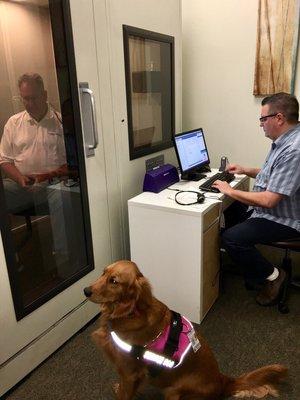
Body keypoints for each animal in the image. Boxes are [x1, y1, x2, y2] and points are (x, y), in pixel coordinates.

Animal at [83, 260, 288, 398]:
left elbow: (124, 394)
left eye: (114, 281)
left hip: (174, 390)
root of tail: (222, 380)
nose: (85, 290)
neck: (130, 312)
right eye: (103, 272)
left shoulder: (129, 372)